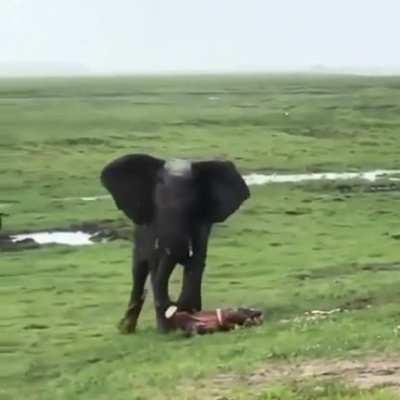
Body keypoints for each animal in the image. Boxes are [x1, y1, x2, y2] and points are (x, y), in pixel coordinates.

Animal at [100, 152, 250, 332]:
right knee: (139, 270)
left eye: (191, 205)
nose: (175, 306)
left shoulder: (202, 221)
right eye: (159, 207)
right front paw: (166, 330)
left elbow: (197, 261)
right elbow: (156, 264)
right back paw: (126, 329)